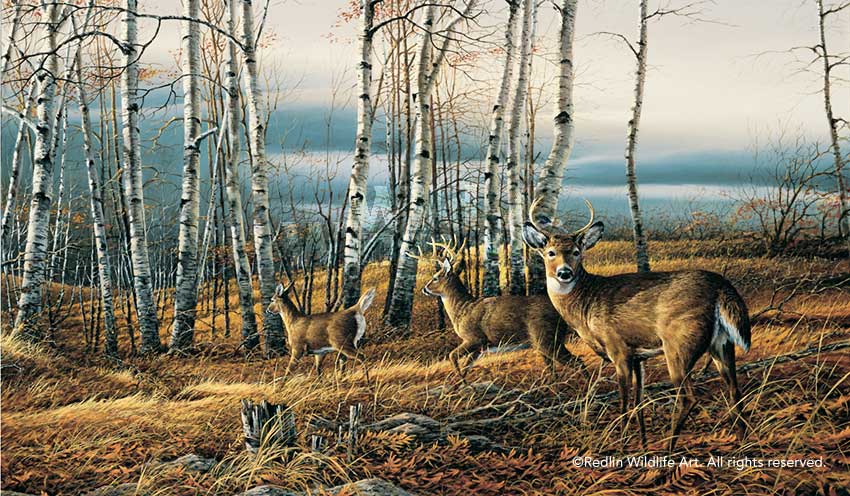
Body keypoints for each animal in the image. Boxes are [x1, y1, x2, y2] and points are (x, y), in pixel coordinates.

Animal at [416, 239, 585, 382]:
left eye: (435, 277)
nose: (424, 289)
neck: (462, 309)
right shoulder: (480, 347)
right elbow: (466, 366)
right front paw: (465, 385)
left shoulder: (475, 338)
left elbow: (452, 356)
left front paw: (462, 383)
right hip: (545, 342)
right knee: (553, 367)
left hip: (547, 338)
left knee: (578, 362)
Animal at [522, 199, 751, 452]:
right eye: (550, 253)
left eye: (576, 252)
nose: (564, 272)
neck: (587, 303)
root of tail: (722, 287)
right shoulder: (638, 356)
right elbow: (638, 401)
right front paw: (642, 444)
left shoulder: (618, 349)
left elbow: (623, 401)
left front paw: (622, 447)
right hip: (722, 344)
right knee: (734, 390)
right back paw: (742, 442)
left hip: (679, 345)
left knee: (688, 397)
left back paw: (669, 448)